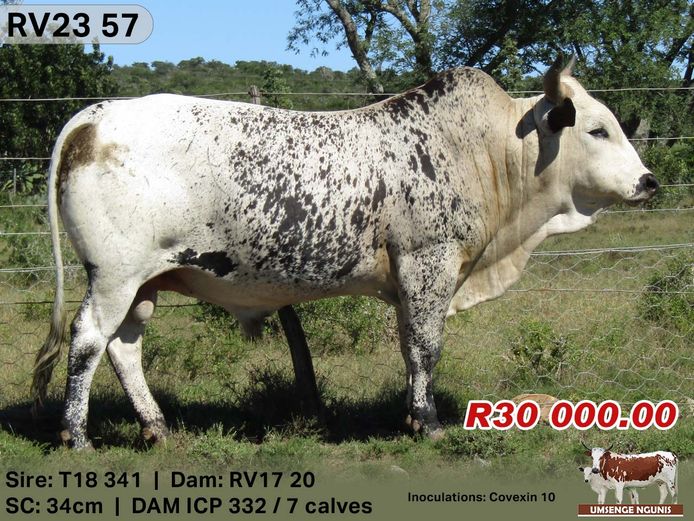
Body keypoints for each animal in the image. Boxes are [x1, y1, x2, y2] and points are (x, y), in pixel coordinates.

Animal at [32, 55, 659, 449]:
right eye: (598, 130)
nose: (648, 181)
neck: (488, 150)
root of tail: (95, 115)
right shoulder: (429, 265)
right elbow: (427, 349)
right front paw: (429, 424)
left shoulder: (409, 280)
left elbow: (410, 351)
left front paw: (412, 417)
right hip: (113, 276)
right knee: (88, 341)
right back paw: (77, 435)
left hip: (145, 283)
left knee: (124, 349)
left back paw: (156, 428)